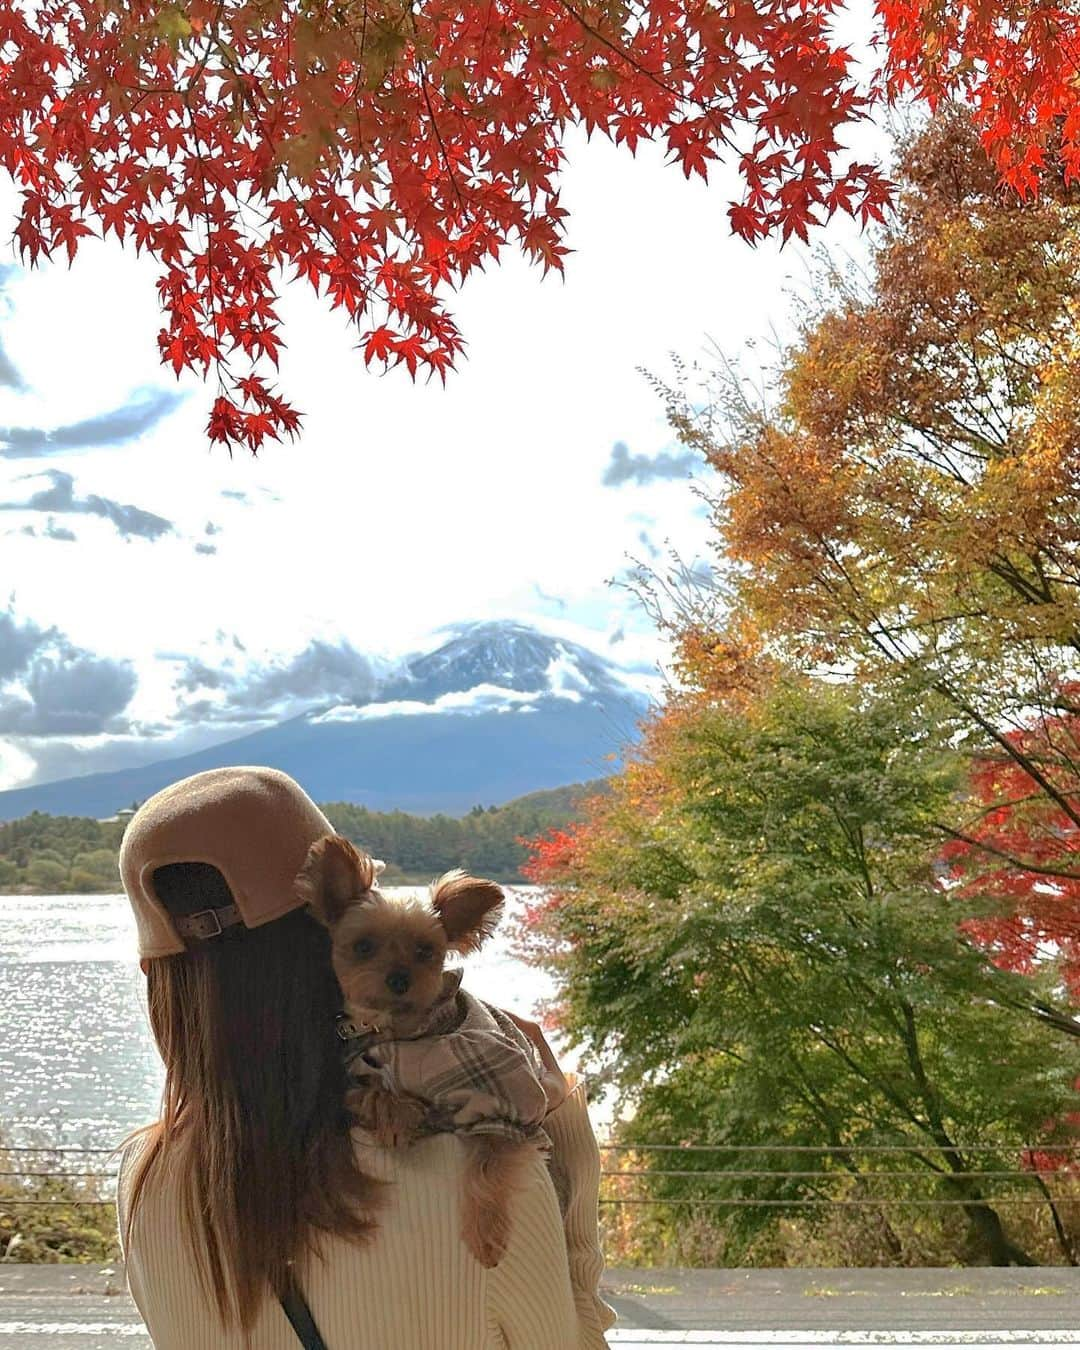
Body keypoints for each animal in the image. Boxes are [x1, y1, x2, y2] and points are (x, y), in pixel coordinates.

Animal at [292, 831, 553, 1263]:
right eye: (363, 946)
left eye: (426, 951)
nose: (399, 978)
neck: (400, 1031)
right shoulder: (362, 1069)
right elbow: (372, 1091)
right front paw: (395, 1113)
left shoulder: (505, 1107)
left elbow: (487, 1165)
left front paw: (487, 1238)